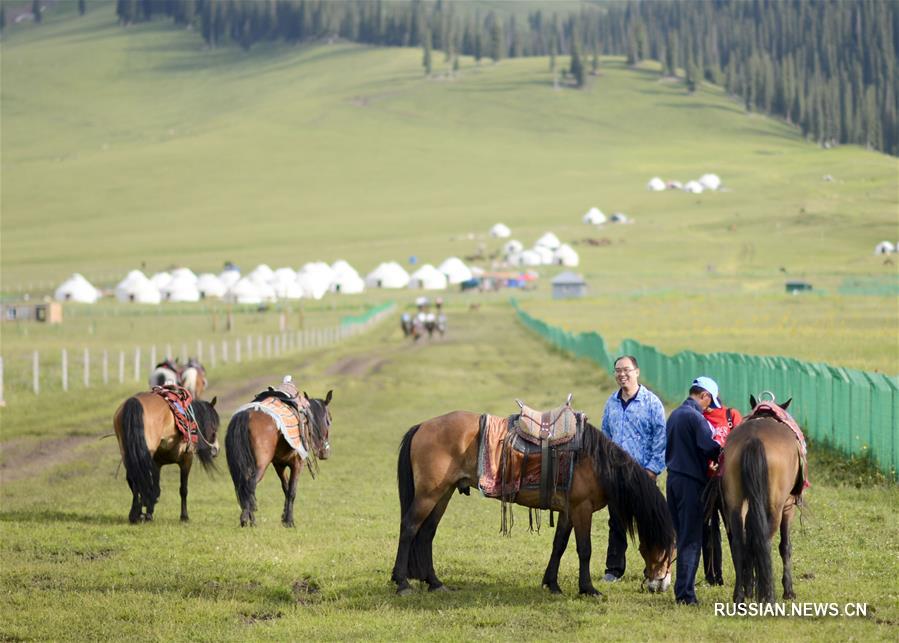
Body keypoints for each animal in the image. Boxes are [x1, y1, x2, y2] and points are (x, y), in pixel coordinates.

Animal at [112, 388, 220, 524]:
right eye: (214, 427)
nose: (216, 450)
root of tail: (134, 402)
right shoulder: (187, 460)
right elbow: (183, 489)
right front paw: (184, 516)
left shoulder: (156, 463)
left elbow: (155, 486)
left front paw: (149, 512)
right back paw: (137, 514)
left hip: (127, 452)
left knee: (134, 477)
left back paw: (136, 514)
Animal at [225, 390, 334, 532]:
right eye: (329, 420)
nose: (325, 452)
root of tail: (246, 415)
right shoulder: (297, 463)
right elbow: (292, 491)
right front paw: (289, 521)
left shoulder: (279, 465)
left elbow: (285, 489)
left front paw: (284, 518)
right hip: (260, 465)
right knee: (250, 486)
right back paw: (246, 520)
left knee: (243, 487)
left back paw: (251, 520)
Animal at [392, 412, 676, 600]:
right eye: (668, 550)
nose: (660, 586)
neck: (594, 461)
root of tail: (422, 426)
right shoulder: (581, 509)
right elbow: (584, 550)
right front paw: (588, 589)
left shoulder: (568, 512)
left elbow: (559, 546)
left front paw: (552, 584)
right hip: (429, 494)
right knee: (409, 529)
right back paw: (402, 583)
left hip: (444, 493)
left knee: (426, 533)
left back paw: (434, 583)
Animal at [720, 394, 804, 608]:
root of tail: (754, 439)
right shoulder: (788, 507)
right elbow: (785, 547)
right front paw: (788, 591)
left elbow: (749, 537)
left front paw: (751, 586)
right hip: (775, 506)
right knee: (764, 541)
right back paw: (768, 596)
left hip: (735, 502)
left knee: (739, 543)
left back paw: (740, 596)